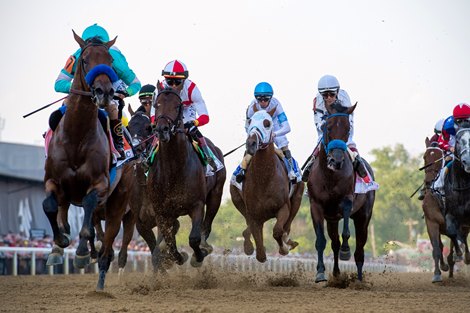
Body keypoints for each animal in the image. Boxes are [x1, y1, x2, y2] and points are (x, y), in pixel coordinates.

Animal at [43, 32, 119, 270]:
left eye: (110, 60)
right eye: (84, 60)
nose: (105, 92)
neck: (76, 138)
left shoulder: (100, 183)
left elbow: (88, 208)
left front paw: (83, 252)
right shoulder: (52, 180)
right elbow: (49, 205)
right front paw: (60, 241)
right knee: (62, 209)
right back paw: (59, 247)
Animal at [148, 83, 227, 270]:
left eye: (178, 105)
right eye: (157, 104)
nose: (162, 129)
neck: (173, 170)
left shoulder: (197, 205)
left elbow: (194, 238)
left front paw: (197, 257)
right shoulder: (161, 211)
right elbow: (170, 241)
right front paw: (177, 257)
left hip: (216, 195)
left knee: (207, 226)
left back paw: (205, 247)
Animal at [230, 109, 304, 260]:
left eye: (267, 123)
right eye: (250, 121)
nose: (251, 143)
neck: (264, 179)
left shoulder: (283, 207)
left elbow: (277, 231)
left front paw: (284, 248)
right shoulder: (254, 215)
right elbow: (260, 255)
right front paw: (251, 247)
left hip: (297, 197)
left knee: (287, 226)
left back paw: (288, 241)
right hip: (237, 198)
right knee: (247, 227)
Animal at [308, 101, 374, 282]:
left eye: (348, 128)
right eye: (328, 127)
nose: (336, 160)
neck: (330, 176)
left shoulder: (347, 201)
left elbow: (346, 233)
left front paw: (346, 251)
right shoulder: (316, 206)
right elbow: (321, 241)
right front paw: (320, 272)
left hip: (363, 216)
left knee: (360, 248)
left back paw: (359, 279)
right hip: (332, 219)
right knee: (334, 243)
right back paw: (337, 274)